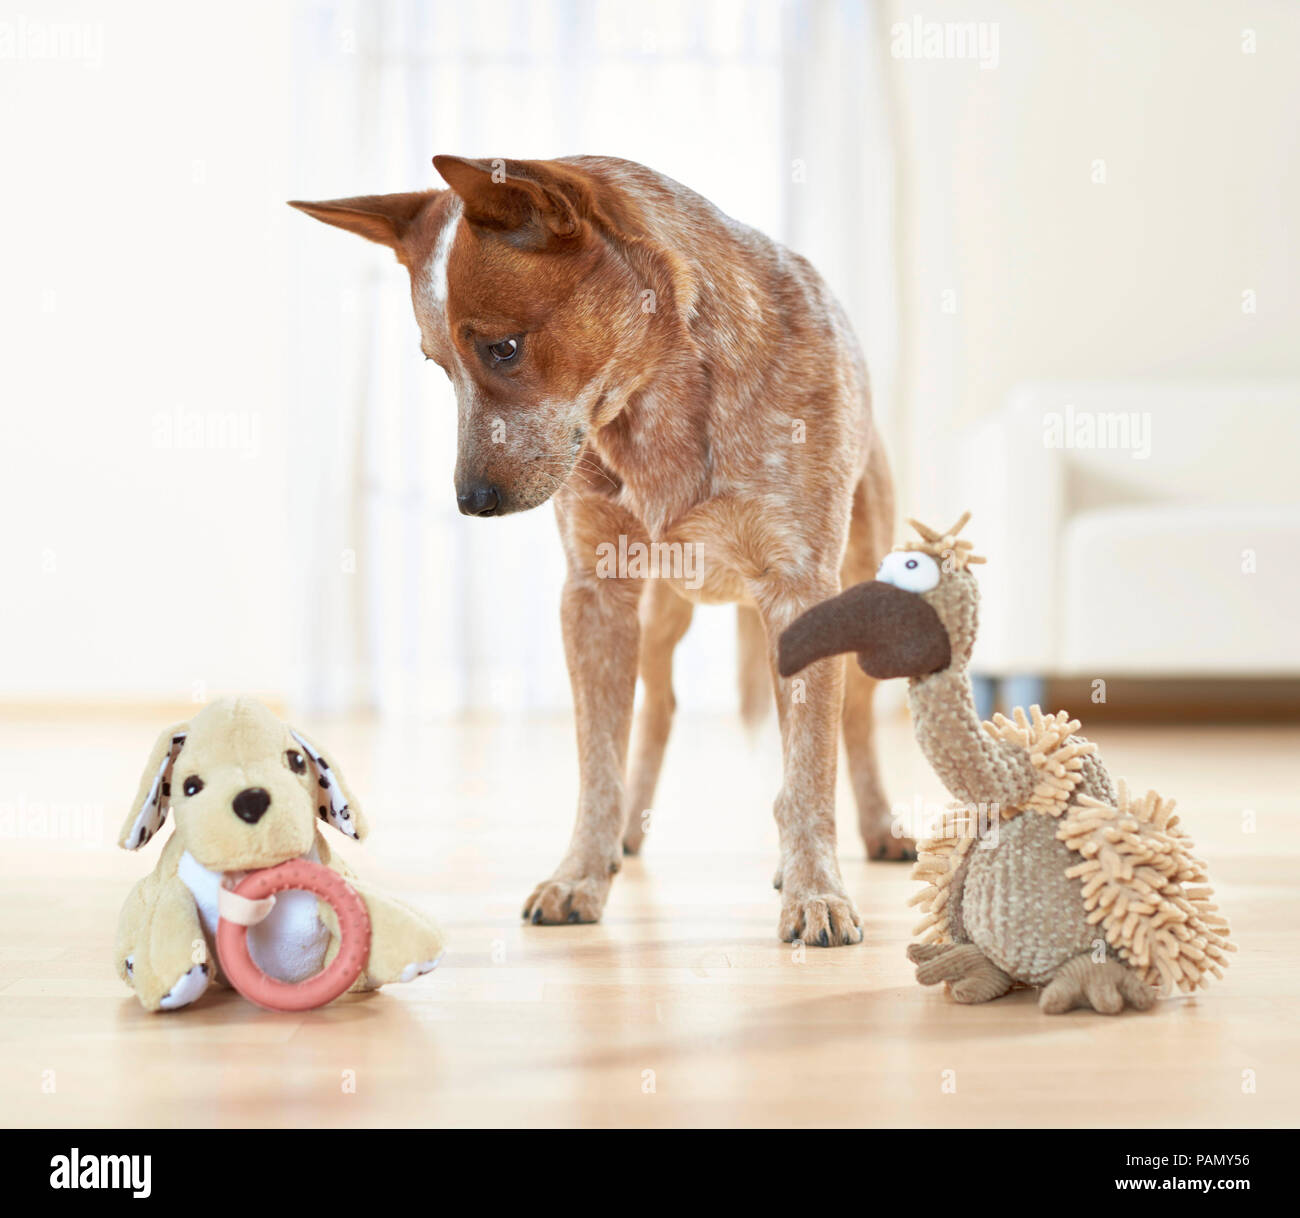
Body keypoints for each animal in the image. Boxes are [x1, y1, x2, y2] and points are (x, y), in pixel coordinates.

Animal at [291, 156, 909, 946]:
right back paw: (627, 839)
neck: (663, 400)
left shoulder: (802, 587)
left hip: (860, 586)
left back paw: (881, 828)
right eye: (437, 365)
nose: (472, 500)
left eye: (503, 347)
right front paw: (579, 874)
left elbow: (809, 766)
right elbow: (599, 759)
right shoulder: (595, 593)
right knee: (659, 706)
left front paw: (816, 893)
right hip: (658, 610)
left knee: (852, 720)